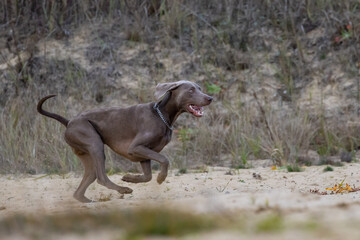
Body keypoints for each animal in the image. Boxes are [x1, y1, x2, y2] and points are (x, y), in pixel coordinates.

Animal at [37, 81, 211, 202]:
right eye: (190, 90)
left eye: (199, 88)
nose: (210, 98)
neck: (161, 114)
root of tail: (69, 122)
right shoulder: (135, 148)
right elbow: (164, 159)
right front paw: (161, 178)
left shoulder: (144, 154)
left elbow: (147, 176)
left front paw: (129, 178)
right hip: (94, 143)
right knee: (101, 177)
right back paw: (123, 190)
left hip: (86, 153)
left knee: (87, 181)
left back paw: (88, 201)